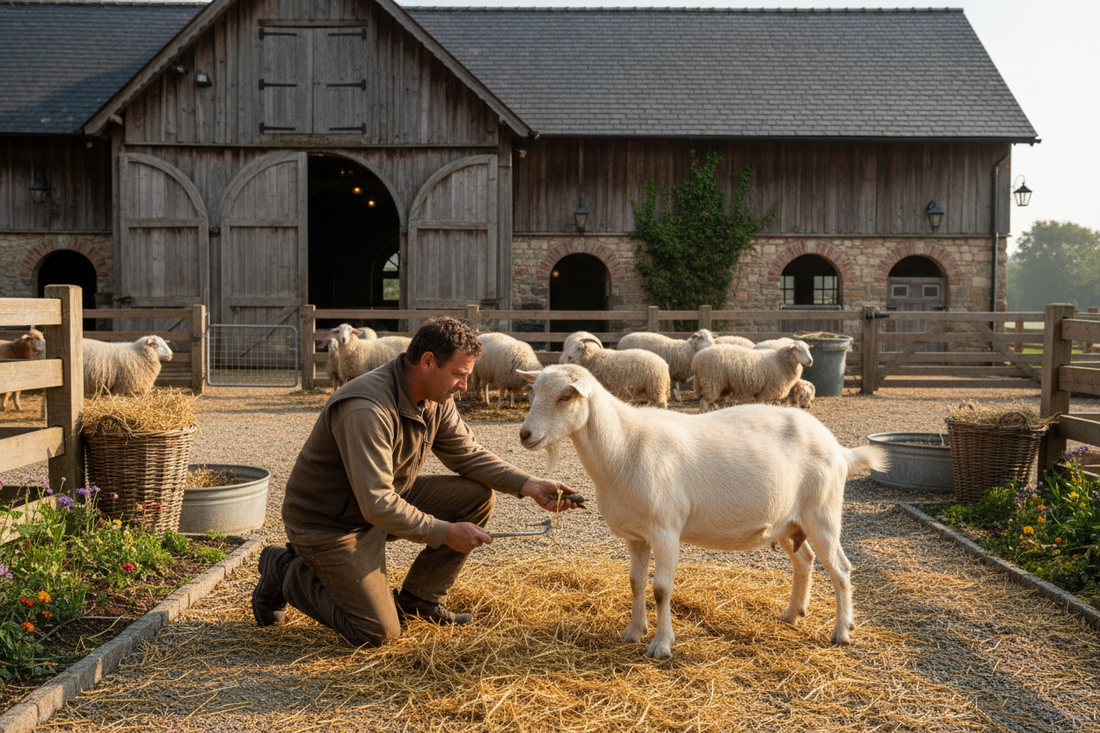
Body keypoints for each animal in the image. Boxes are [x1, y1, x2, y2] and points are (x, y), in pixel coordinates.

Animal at [517, 364, 886, 658]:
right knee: (805, 561)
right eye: (533, 392)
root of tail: (839, 449)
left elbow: (660, 589)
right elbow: (635, 583)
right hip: (789, 522)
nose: (525, 434)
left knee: (841, 570)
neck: (623, 447)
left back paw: (842, 632)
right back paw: (792, 614)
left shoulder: (666, 530)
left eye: (566, 396)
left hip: (822, 513)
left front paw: (661, 645)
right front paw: (633, 632)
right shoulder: (635, 535)